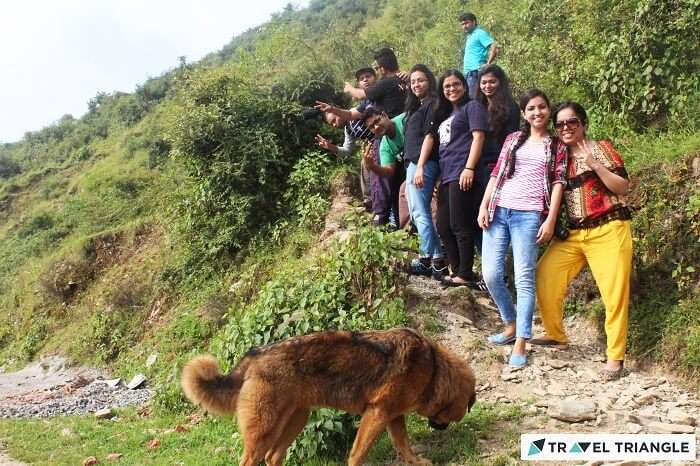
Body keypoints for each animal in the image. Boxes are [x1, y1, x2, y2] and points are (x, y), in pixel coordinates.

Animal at [180, 328, 476, 466]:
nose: (440, 427)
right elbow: (358, 454)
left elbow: (404, 445)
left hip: (295, 420)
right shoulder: (377, 414)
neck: (434, 368)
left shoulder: (393, 417)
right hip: (264, 430)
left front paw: (414, 461)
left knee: (273, 457)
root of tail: (254, 355)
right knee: (254, 459)